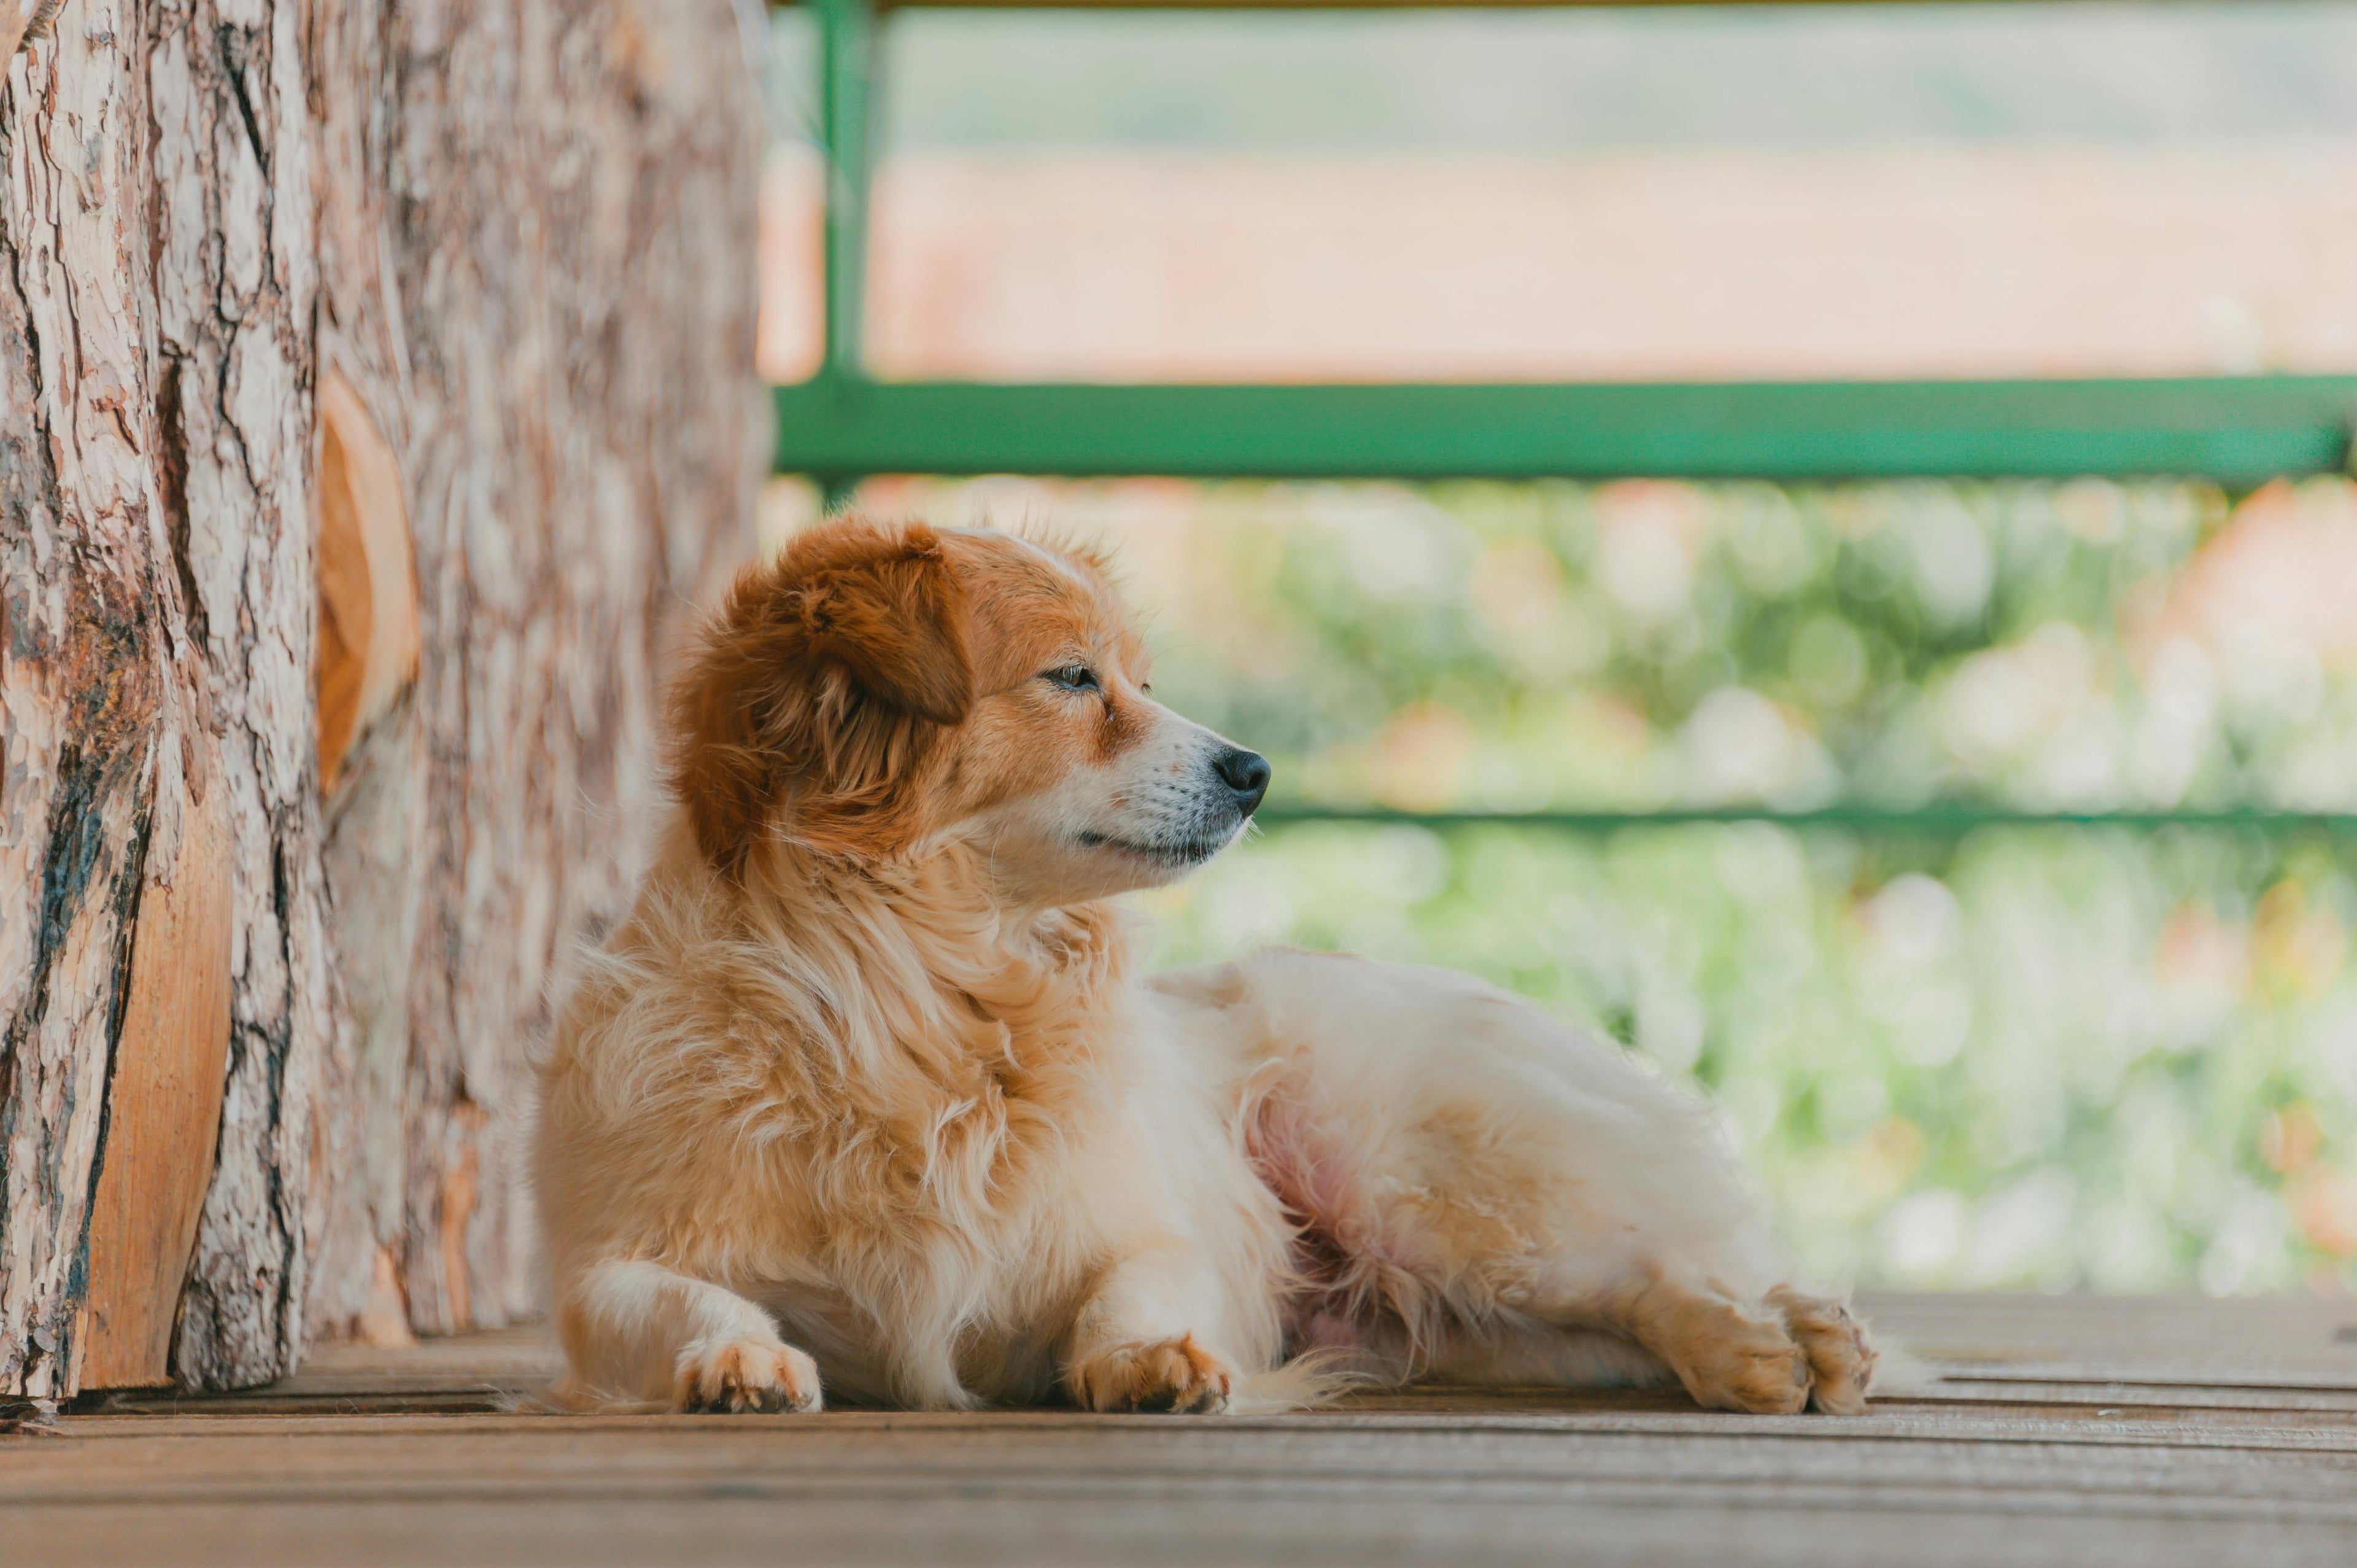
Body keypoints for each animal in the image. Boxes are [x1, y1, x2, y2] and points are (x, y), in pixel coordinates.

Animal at [535, 516, 1876, 1415]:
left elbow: (1133, 1289)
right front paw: (736, 1355)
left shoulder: (1145, 1233)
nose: (1257, 770)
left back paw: (1776, 1340)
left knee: (1649, 1262)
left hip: (1434, 1198)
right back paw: (1767, 1349)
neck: (921, 989)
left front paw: (1145, 1360)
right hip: (1466, 1315)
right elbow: (671, 1301)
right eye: (1073, 677)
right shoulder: (605, 1271)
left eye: (1141, 678)